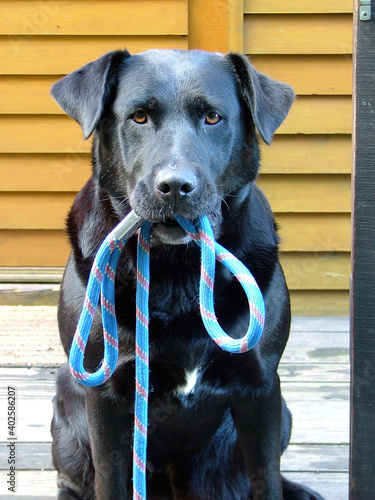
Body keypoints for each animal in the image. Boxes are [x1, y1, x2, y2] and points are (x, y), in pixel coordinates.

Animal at [50, 47, 326, 500]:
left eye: (213, 117)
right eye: (138, 117)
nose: (175, 186)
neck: (177, 269)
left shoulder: (262, 387)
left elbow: (266, 477)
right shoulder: (104, 397)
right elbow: (110, 480)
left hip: (282, 412)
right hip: (65, 414)